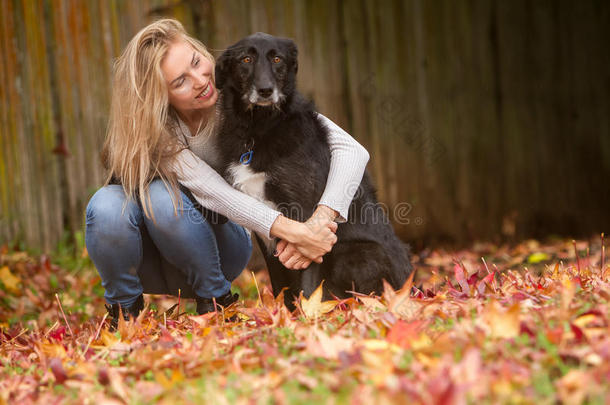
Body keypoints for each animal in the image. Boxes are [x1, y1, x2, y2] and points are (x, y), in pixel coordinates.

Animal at [215, 33, 414, 308]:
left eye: (277, 59)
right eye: (246, 59)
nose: (265, 90)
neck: (259, 129)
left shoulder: (306, 220)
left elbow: (308, 288)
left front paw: (308, 316)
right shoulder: (266, 228)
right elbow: (280, 286)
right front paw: (285, 315)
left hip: (358, 253)